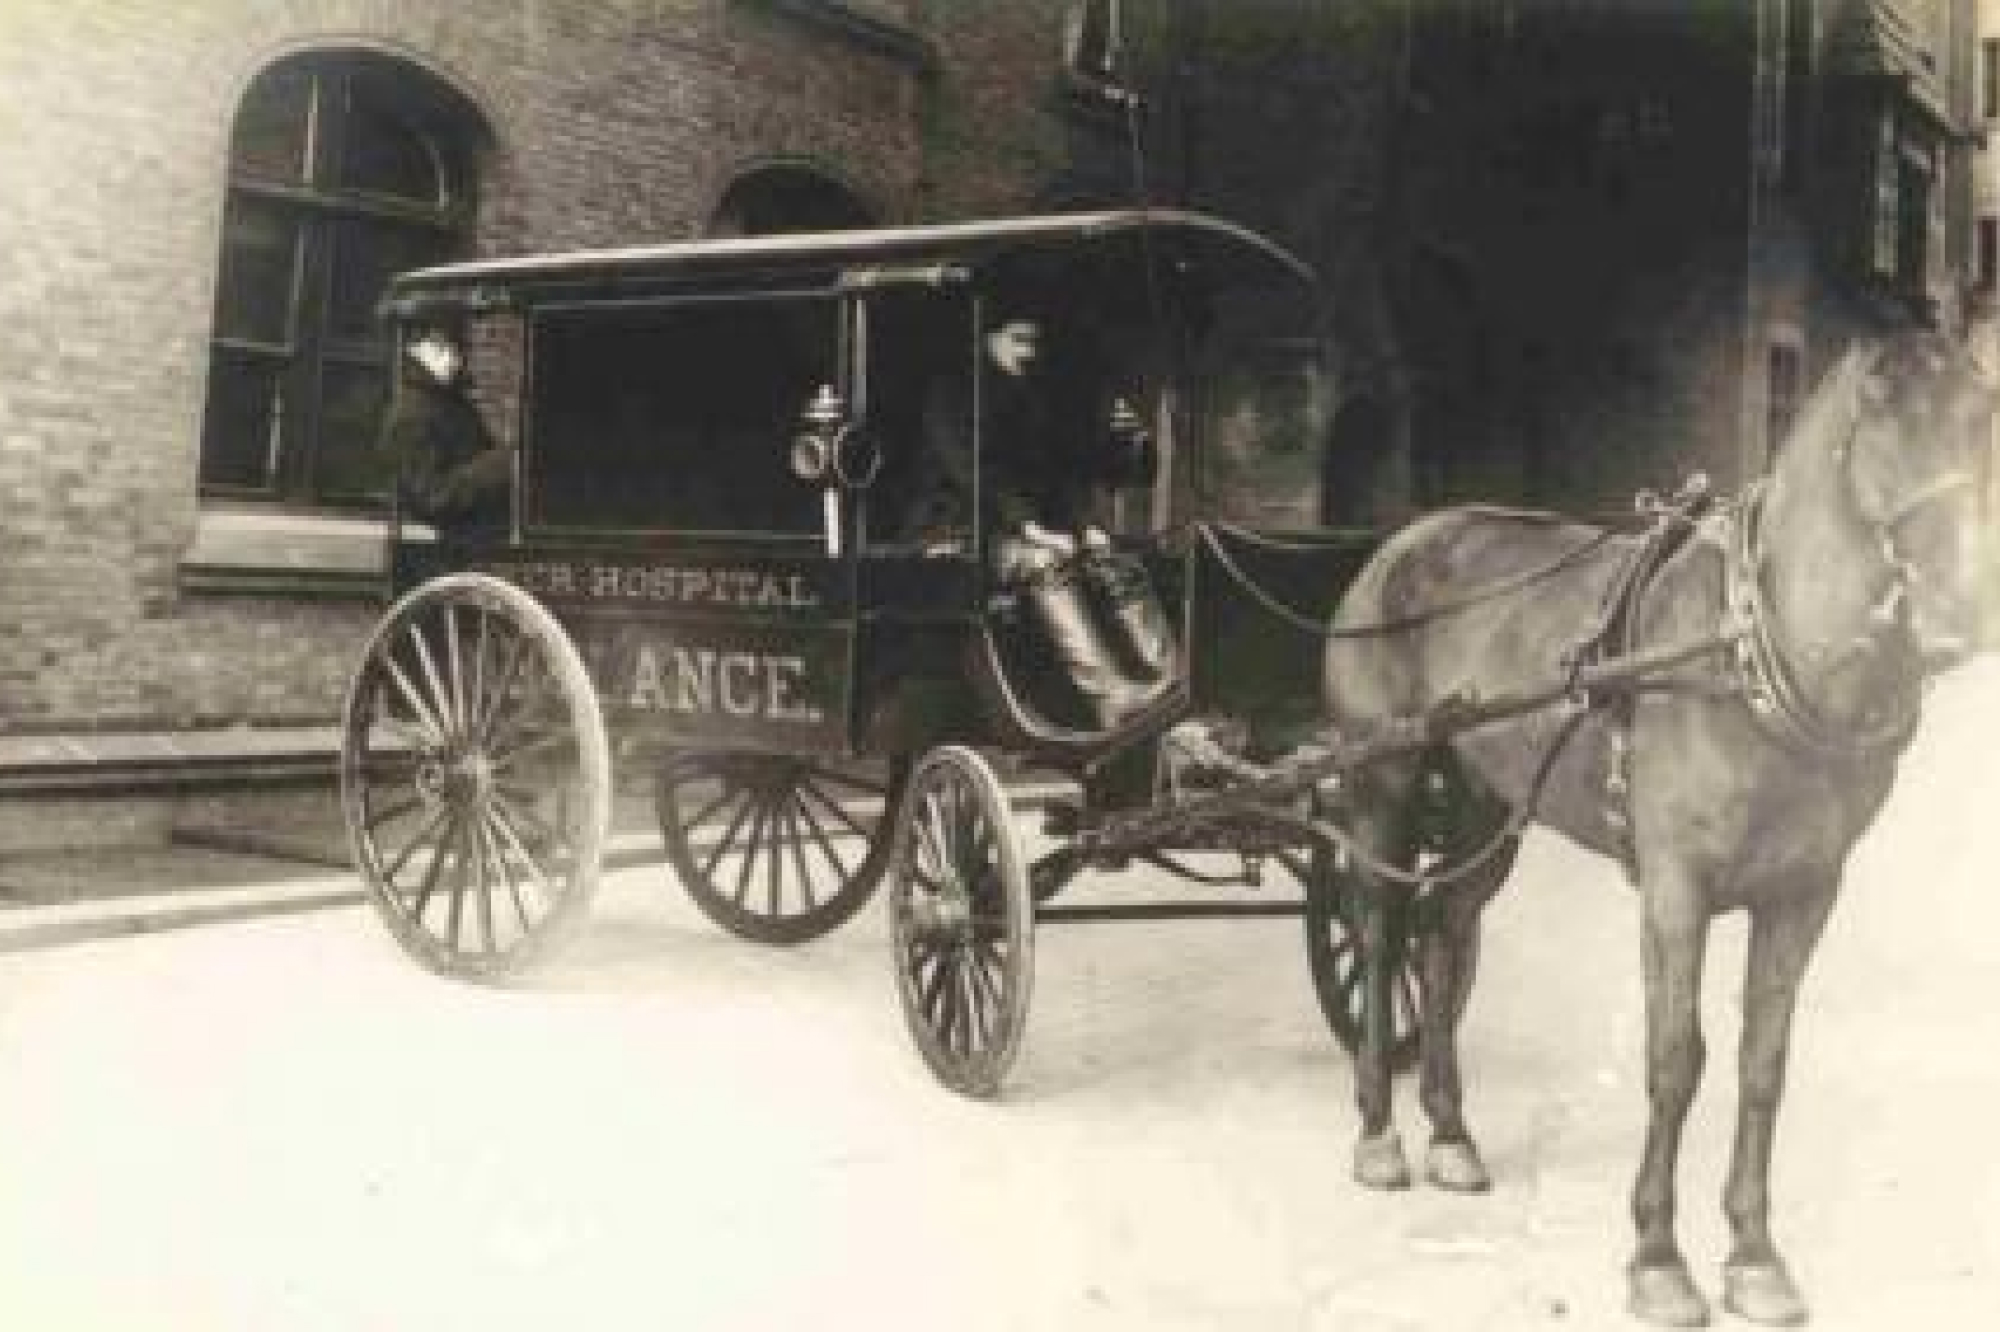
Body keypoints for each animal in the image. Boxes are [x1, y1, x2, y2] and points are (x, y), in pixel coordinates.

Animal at [1320, 324, 1992, 1328]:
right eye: (1879, 412)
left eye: (1985, 417)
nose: (1959, 610)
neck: (1747, 648)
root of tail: (1399, 542)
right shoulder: (1678, 886)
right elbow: (1676, 1058)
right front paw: (1658, 1258)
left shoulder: (1805, 892)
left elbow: (1763, 1062)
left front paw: (1754, 1255)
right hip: (1382, 781)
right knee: (1376, 926)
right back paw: (1377, 1133)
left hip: (1488, 800)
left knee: (1443, 932)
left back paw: (1450, 1133)